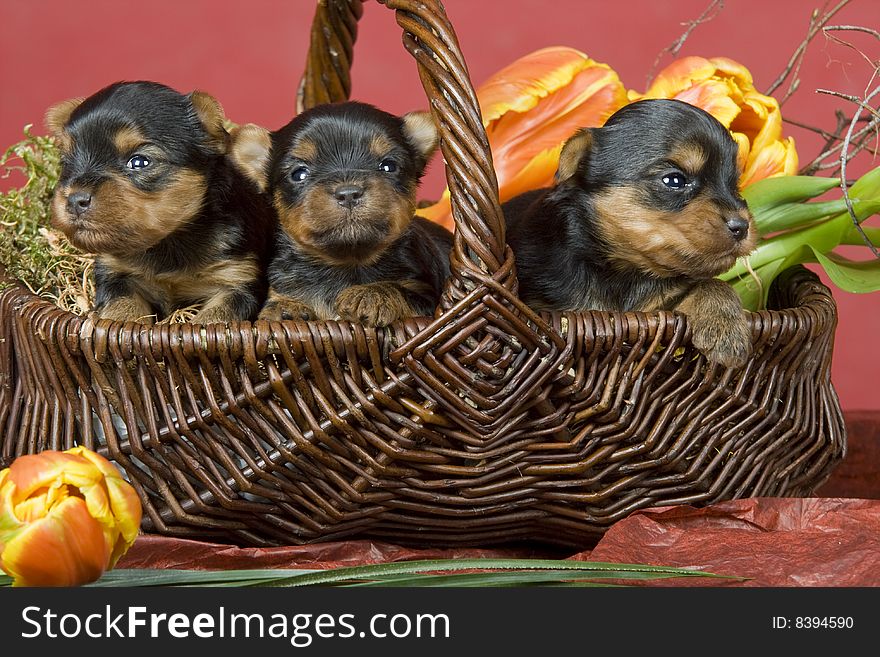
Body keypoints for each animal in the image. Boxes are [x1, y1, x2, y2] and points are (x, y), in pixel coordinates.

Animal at [46, 80, 274, 324]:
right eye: (66, 162)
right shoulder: (115, 273)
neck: (168, 241)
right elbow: (122, 307)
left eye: (139, 162)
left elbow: (217, 318)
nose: (74, 199)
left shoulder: (238, 279)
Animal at [230, 101, 454, 326]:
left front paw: (370, 294)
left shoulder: (426, 297)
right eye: (299, 174)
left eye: (388, 166)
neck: (347, 262)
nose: (348, 193)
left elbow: (400, 289)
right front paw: (286, 307)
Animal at [502, 97, 756, 366]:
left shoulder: (660, 306)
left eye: (734, 184)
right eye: (674, 180)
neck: (625, 269)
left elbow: (712, 283)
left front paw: (726, 330)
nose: (742, 226)